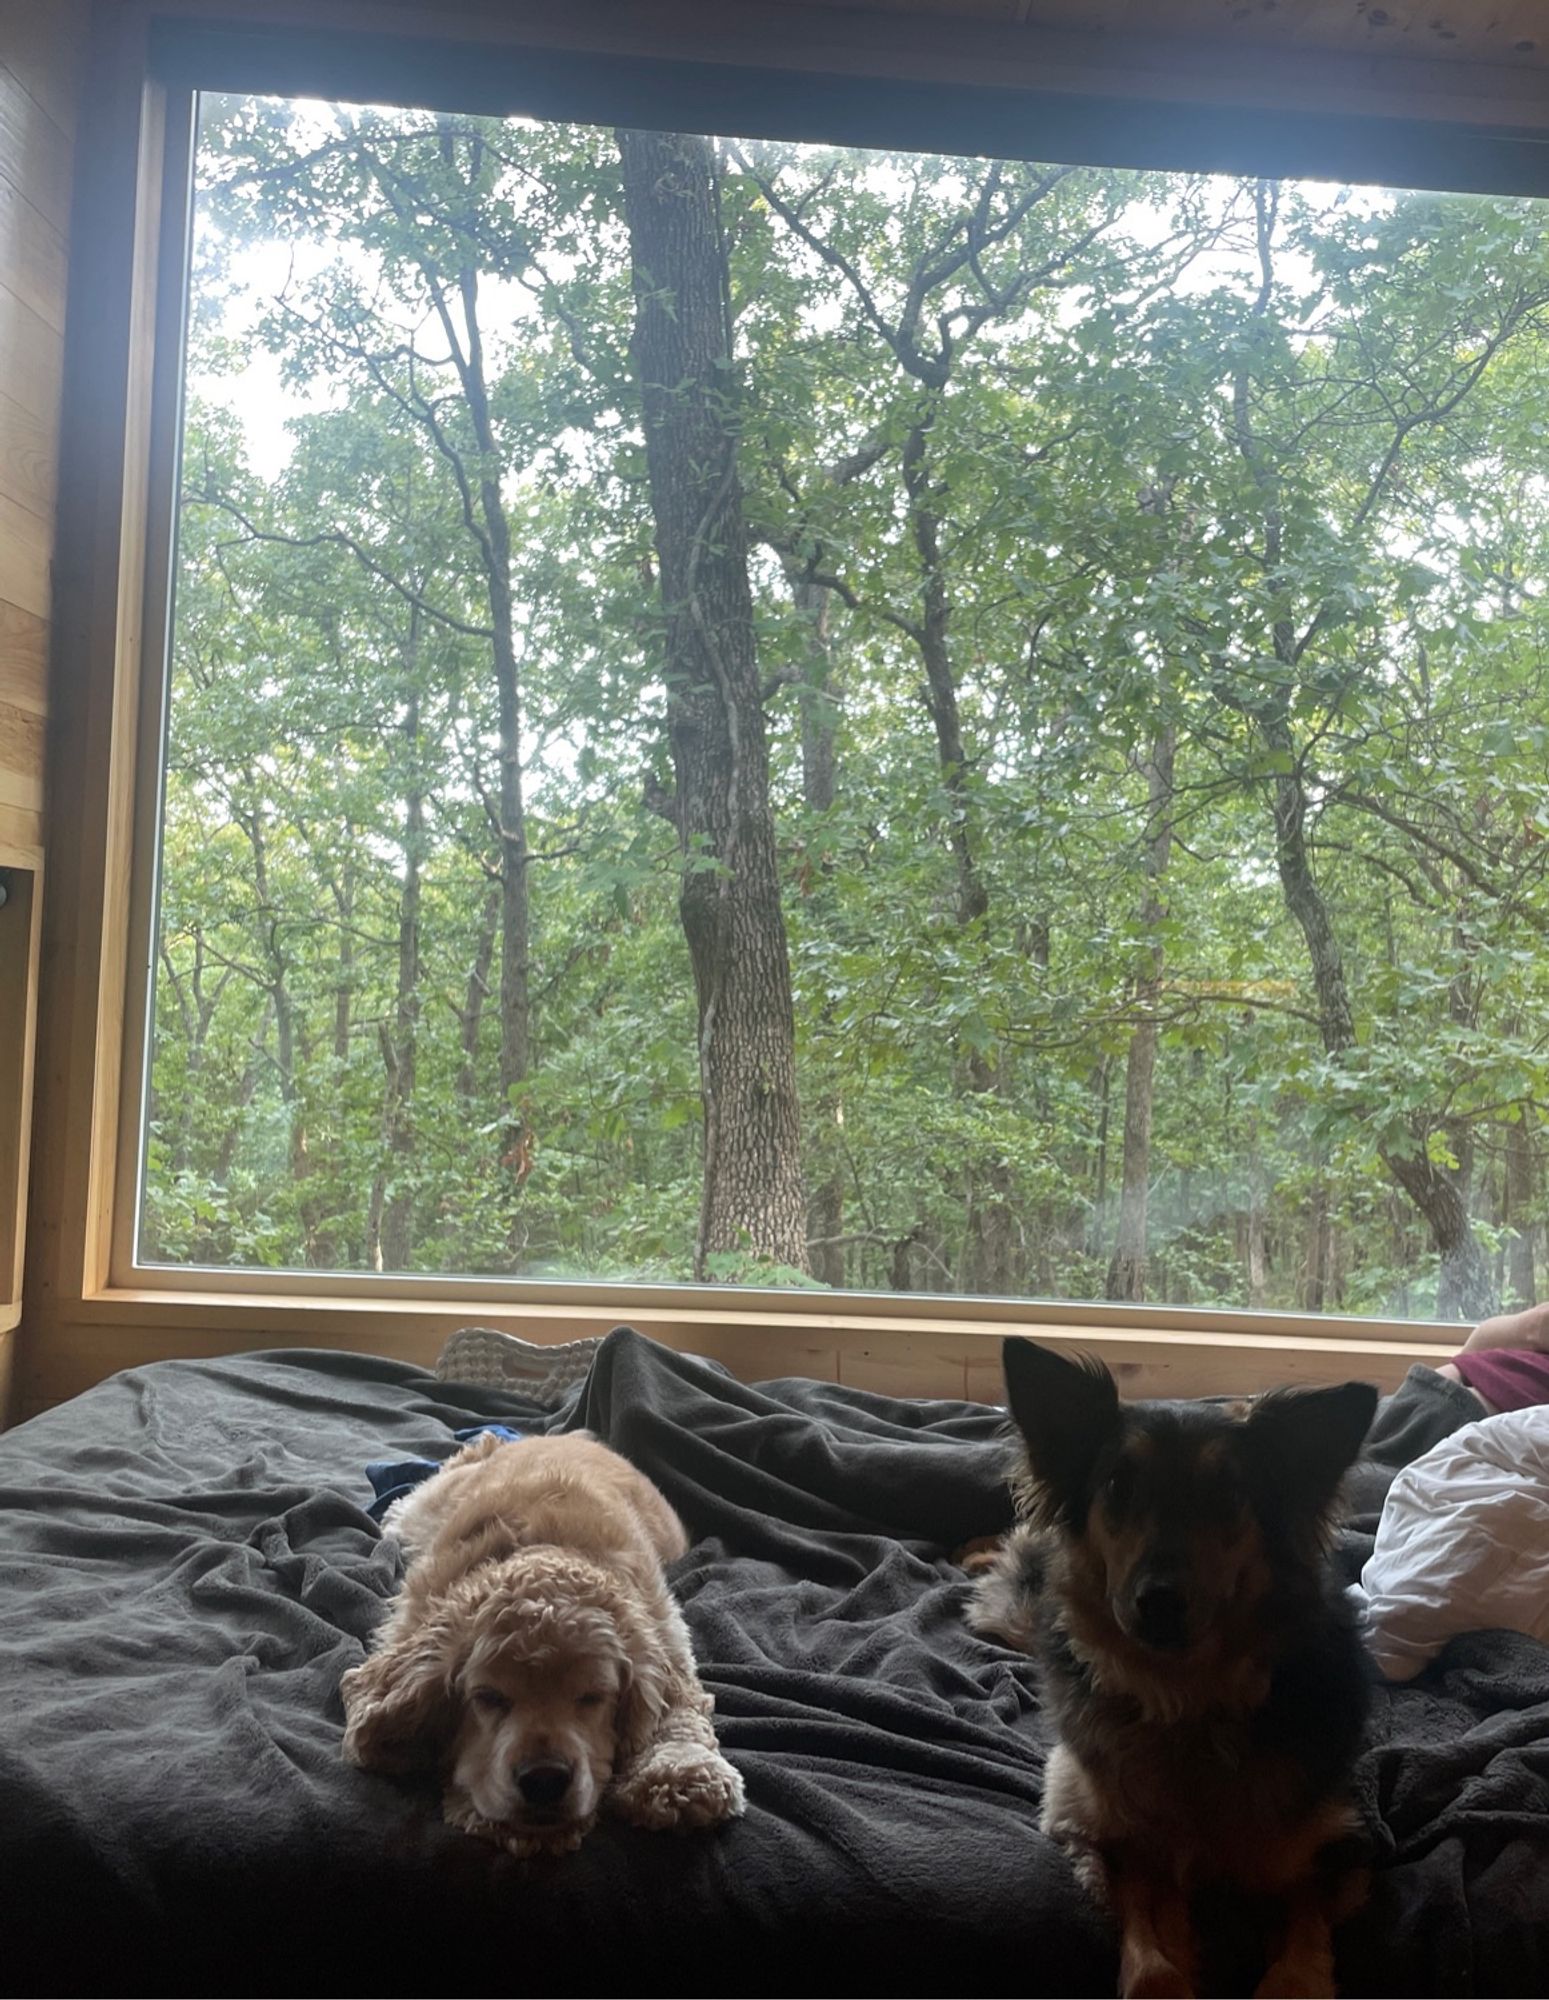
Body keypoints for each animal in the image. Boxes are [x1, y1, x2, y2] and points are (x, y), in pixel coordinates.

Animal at [968, 1344, 1384, 2000]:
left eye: (1228, 1494)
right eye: (1118, 1485)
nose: (1159, 1601)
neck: (1185, 1694)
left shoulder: (1335, 1840)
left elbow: (1302, 1927)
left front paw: (1292, 1978)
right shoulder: (1102, 1824)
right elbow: (1149, 1931)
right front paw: (1160, 1970)